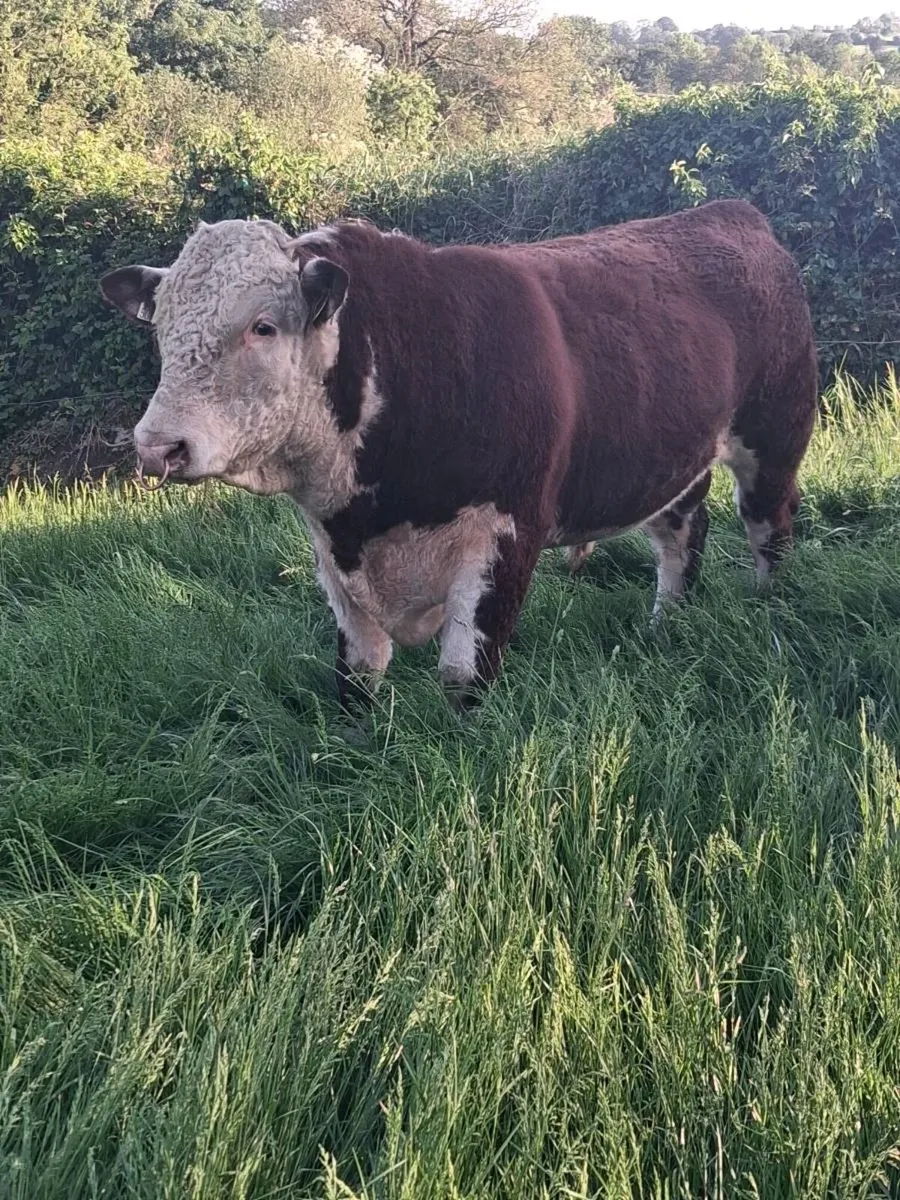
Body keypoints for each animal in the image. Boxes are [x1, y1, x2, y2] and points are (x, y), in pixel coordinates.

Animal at [99, 199, 818, 712]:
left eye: (263, 326)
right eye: (162, 331)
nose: (158, 446)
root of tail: (731, 214)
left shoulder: (507, 535)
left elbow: (463, 676)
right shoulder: (333, 555)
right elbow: (357, 675)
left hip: (775, 435)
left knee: (769, 527)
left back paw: (768, 606)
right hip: (674, 462)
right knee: (681, 537)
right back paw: (665, 627)